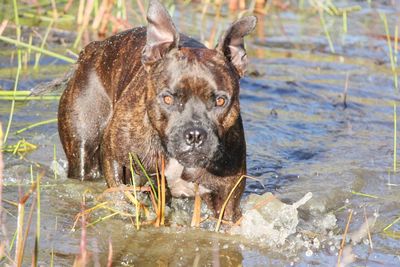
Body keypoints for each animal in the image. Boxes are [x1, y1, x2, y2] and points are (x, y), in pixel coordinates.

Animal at [57, 0, 256, 222]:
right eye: (168, 98)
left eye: (221, 101)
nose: (195, 134)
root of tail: (95, 47)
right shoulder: (115, 159)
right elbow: (121, 191)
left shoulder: (227, 201)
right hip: (83, 146)